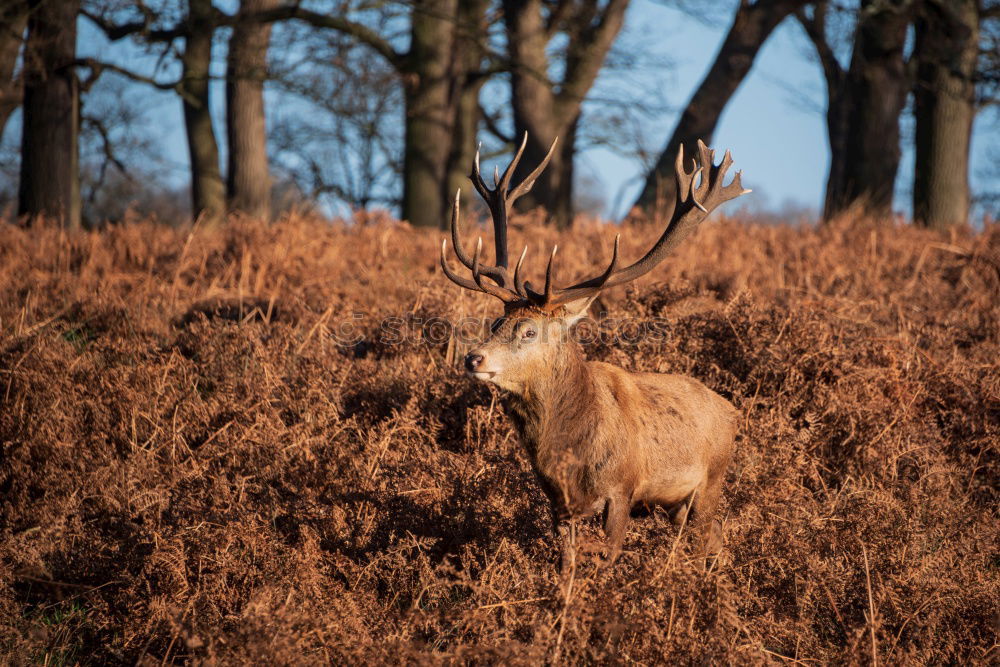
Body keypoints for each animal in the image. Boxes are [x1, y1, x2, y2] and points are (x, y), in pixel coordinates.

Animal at [440, 133, 752, 572]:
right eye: (496, 323)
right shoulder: (558, 503)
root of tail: (731, 410)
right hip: (676, 502)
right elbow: (566, 564)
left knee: (710, 533)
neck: (571, 453)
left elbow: (608, 555)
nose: (473, 359)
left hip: (711, 479)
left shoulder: (622, 488)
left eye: (529, 330)